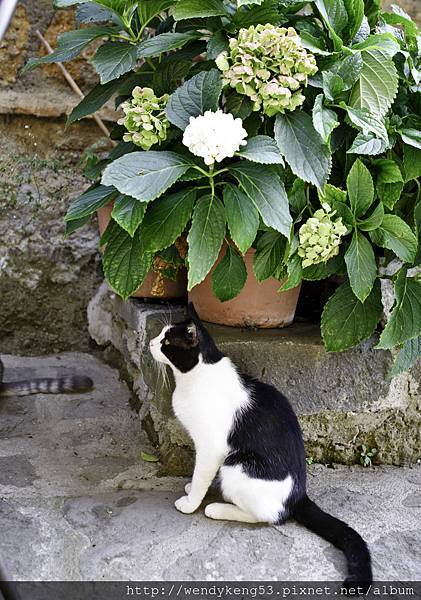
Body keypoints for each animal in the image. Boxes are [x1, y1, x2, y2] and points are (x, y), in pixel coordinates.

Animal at [150, 304, 370, 584]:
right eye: (161, 335)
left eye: (167, 342)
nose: (150, 343)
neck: (196, 377)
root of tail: (299, 495)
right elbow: (198, 476)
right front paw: (191, 490)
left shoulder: (212, 448)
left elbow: (201, 475)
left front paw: (190, 502)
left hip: (237, 465)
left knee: (270, 516)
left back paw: (218, 508)